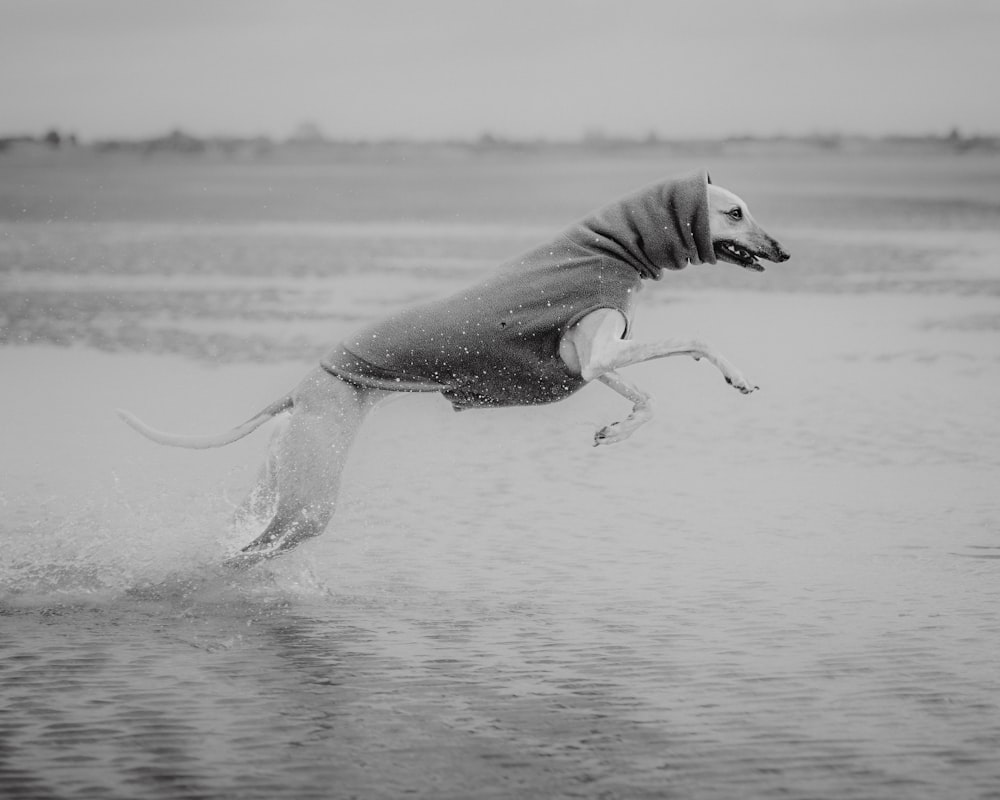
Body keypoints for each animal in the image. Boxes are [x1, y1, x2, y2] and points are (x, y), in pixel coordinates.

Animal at [117, 171, 788, 564]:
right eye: (735, 212)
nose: (783, 250)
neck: (611, 248)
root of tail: (300, 391)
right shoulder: (594, 352)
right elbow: (690, 343)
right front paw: (725, 377)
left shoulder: (590, 360)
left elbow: (653, 390)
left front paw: (621, 429)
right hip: (310, 500)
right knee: (254, 548)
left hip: (279, 476)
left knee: (240, 533)